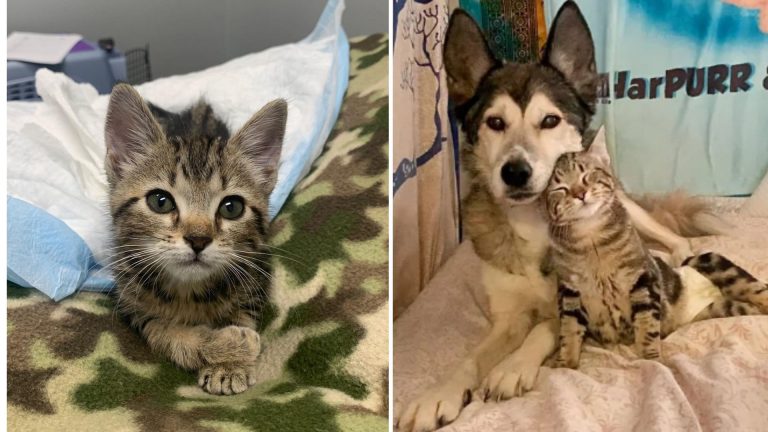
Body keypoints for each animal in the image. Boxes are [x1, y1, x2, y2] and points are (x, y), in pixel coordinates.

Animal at [105, 84, 288, 394]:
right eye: (160, 201)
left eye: (232, 207)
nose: (198, 240)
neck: (189, 292)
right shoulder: (133, 307)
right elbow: (167, 333)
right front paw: (230, 345)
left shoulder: (256, 278)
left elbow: (243, 315)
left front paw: (230, 365)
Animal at [400, 1, 704, 430]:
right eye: (495, 123)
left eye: (550, 120)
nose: (515, 172)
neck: (533, 223)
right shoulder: (508, 314)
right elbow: (473, 356)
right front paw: (439, 393)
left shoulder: (581, 304)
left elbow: (545, 327)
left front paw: (512, 368)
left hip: (626, 208)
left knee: (673, 237)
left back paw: (679, 253)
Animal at [544, 133, 768, 366]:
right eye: (560, 189)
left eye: (587, 176)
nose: (580, 194)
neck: (592, 238)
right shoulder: (569, 292)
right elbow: (568, 332)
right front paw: (565, 364)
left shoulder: (643, 279)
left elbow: (646, 326)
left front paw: (651, 360)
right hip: (721, 304)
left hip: (709, 261)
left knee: (754, 287)